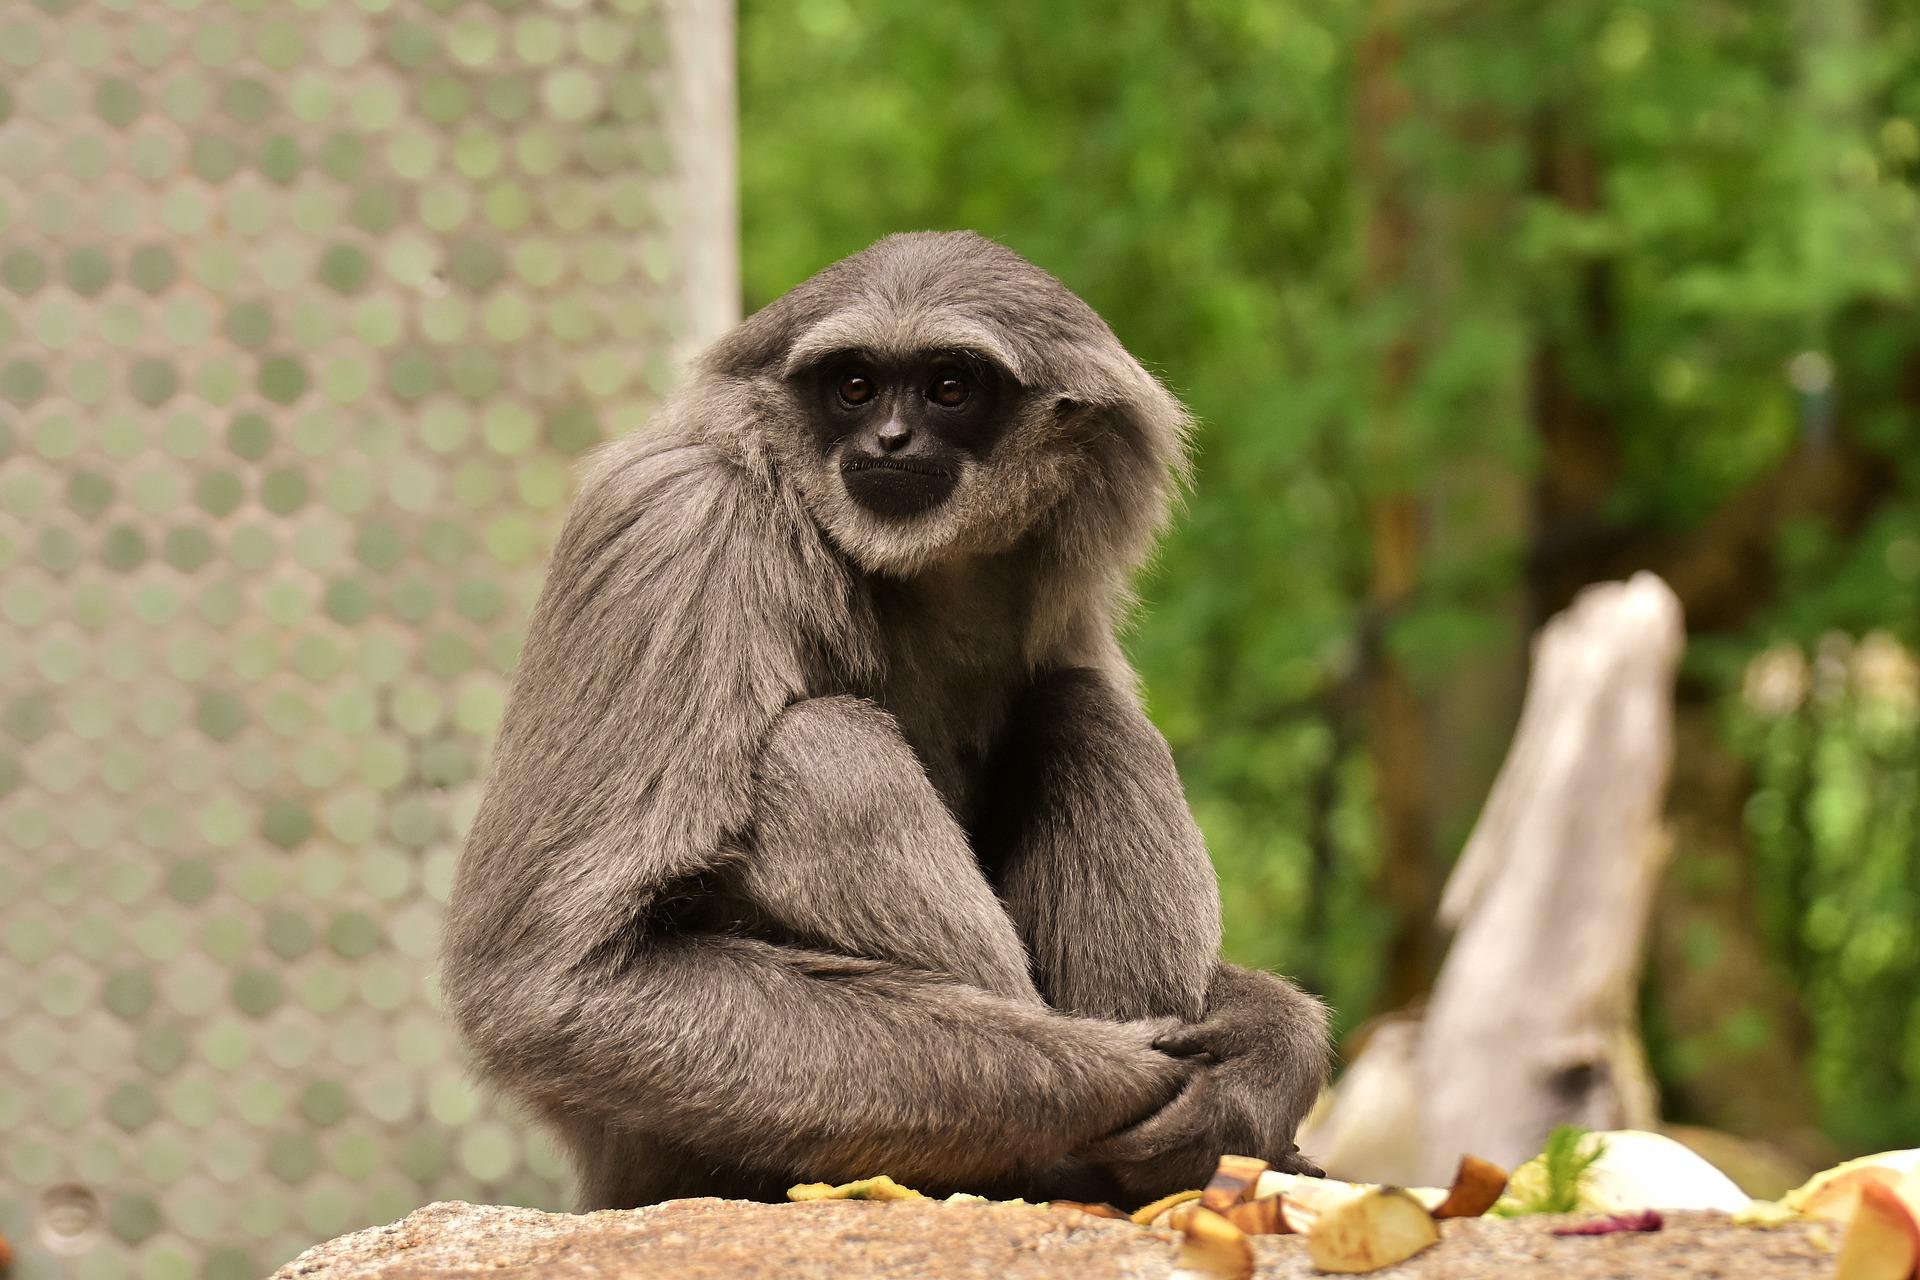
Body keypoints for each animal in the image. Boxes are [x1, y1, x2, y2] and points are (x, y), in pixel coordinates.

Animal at [441, 231, 1330, 1210]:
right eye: (856, 387)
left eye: (949, 388)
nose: (889, 437)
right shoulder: (676, 522)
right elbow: (548, 982)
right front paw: (1154, 1078)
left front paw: (1260, 1057)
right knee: (822, 743)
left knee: (1081, 707)